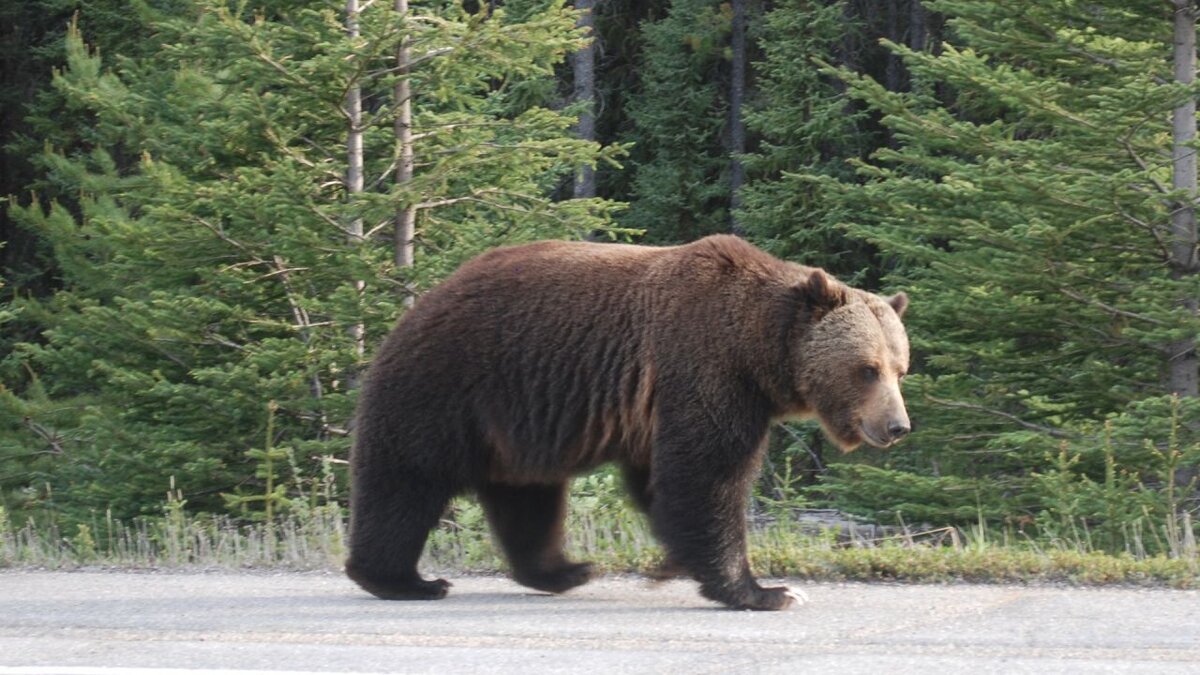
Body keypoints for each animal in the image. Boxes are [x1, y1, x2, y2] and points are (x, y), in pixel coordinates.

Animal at [345, 234, 910, 611]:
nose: (897, 426)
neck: (757, 351)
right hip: (448, 386)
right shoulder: (704, 368)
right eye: (867, 369)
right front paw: (767, 589)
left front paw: (679, 562)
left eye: (900, 367)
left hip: (516, 418)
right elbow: (708, 475)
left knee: (526, 495)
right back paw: (404, 580)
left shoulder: (659, 404)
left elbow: (662, 482)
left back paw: (564, 570)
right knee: (407, 481)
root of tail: (419, 303)